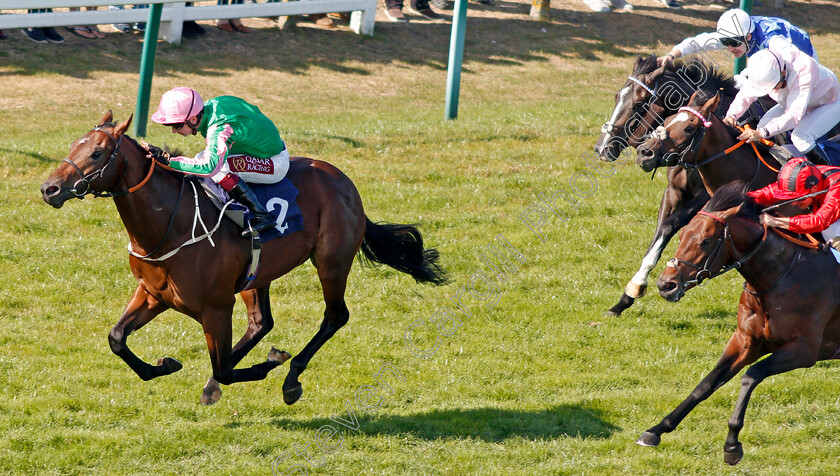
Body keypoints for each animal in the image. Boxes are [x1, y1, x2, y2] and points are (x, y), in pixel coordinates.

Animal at [41, 111, 446, 406]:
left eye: (96, 153)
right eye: (73, 146)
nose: (50, 189)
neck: (170, 223)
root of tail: (344, 182)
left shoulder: (216, 308)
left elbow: (223, 367)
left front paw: (271, 363)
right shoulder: (154, 294)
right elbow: (117, 338)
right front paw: (166, 364)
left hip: (331, 263)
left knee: (334, 317)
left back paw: (291, 377)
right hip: (258, 273)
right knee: (261, 322)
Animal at [592, 54, 740, 316]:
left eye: (639, 105)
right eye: (617, 96)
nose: (602, 148)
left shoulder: (706, 196)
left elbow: (670, 225)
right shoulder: (673, 193)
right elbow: (659, 232)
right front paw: (626, 297)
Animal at [636, 182, 840, 464]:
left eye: (706, 240)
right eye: (682, 235)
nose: (666, 285)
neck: (782, 275)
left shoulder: (805, 349)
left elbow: (751, 375)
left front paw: (732, 444)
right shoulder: (745, 340)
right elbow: (707, 383)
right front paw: (657, 430)